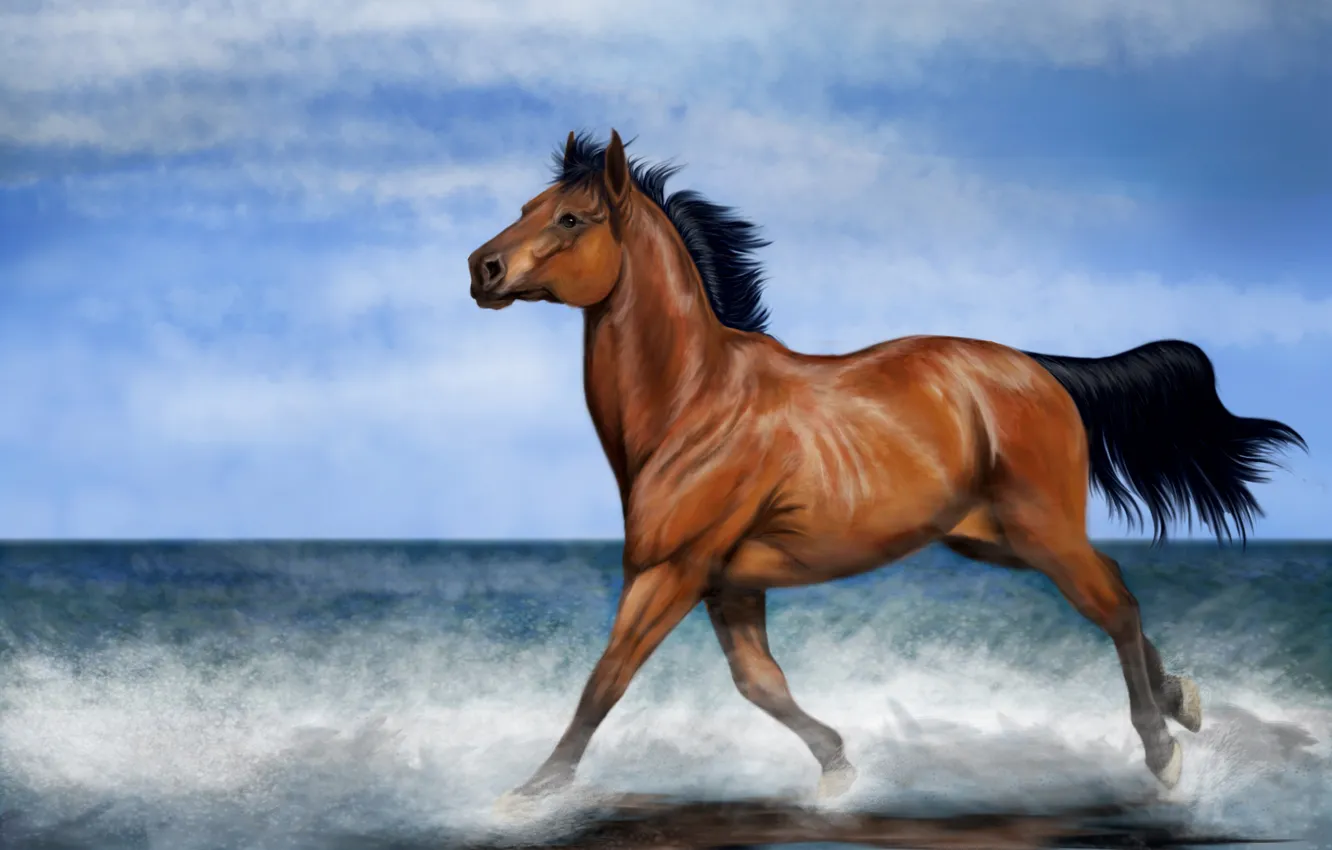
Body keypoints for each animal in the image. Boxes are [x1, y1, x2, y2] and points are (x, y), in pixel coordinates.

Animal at [466, 129, 1307, 802]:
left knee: (1116, 605)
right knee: (1115, 593)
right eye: (526, 204)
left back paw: (1163, 754)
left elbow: (606, 678)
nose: (482, 268)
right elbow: (759, 683)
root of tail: (1039, 369)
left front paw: (532, 792)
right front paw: (837, 766)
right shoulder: (728, 582)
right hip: (993, 539)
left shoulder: (671, 570)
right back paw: (1181, 701)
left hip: (1040, 531)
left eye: (571, 218)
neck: (695, 400)